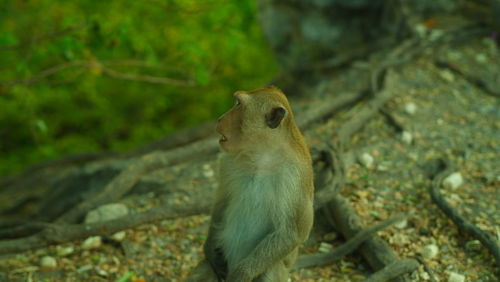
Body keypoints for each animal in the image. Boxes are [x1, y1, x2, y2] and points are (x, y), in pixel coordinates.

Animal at [188, 86, 312, 282]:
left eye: (238, 104)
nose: (220, 119)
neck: (262, 155)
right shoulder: (227, 161)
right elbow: (223, 202)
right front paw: (209, 250)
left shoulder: (295, 176)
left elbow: (290, 232)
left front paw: (240, 274)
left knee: (271, 269)